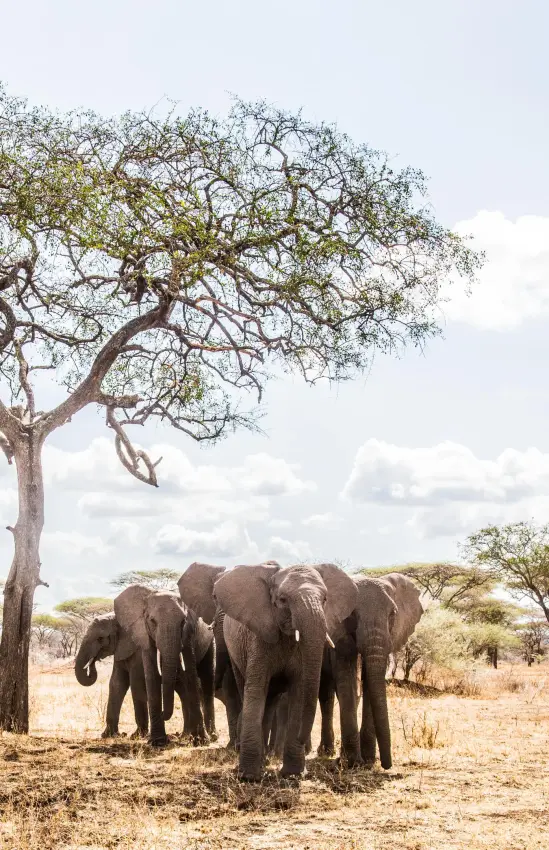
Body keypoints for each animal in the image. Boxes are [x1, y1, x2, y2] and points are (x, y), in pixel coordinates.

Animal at [113, 585, 214, 746]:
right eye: (152, 621)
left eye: (183, 622)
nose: (162, 714)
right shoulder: (143, 632)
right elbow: (151, 674)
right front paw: (158, 742)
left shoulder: (189, 632)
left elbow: (191, 673)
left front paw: (201, 741)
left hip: (211, 640)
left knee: (206, 680)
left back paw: (211, 735)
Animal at [213, 561, 357, 781]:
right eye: (282, 600)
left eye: (325, 599)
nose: (304, 741)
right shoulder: (258, 640)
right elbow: (255, 691)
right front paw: (248, 777)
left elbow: (299, 691)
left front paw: (293, 775)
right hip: (234, 650)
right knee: (248, 689)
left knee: (270, 700)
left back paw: (265, 761)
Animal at [317, 572, 424, 769]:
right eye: (352, 615)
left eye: (393, 614)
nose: (387, 765)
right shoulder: (340, 633)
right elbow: (347, 678)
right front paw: (352, 762)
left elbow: (369, 682)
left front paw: (368, 760)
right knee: (326, 694)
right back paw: (325, 752)